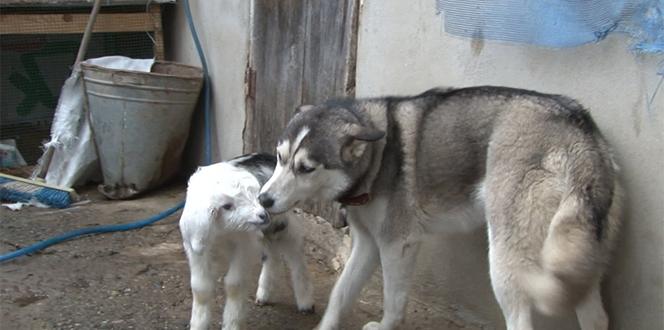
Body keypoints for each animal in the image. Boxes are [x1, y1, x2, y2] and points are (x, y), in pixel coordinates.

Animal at [179, 154, 314, 330]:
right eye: (227, 206)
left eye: (255, 195)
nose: (262, 215)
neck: (222, 231)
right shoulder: (195, 248)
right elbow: (200, 288)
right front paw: (198, 324)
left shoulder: (245, 245)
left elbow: (234, 284)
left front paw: (232, 323)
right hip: (267, 229)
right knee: (272, 255)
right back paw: (264, 293)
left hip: (282, 222)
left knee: (295, 250)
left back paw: (305, 301)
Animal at [260, 87, 624, 330]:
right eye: (279, 157)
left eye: (306, 168)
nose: (264, 199)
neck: (378, 156)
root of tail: (577, 129)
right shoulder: (367, 244)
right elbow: (341, 294)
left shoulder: (398, 244)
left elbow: (393, 300)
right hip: (576, 261)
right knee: (595, 316)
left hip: (506, 261)